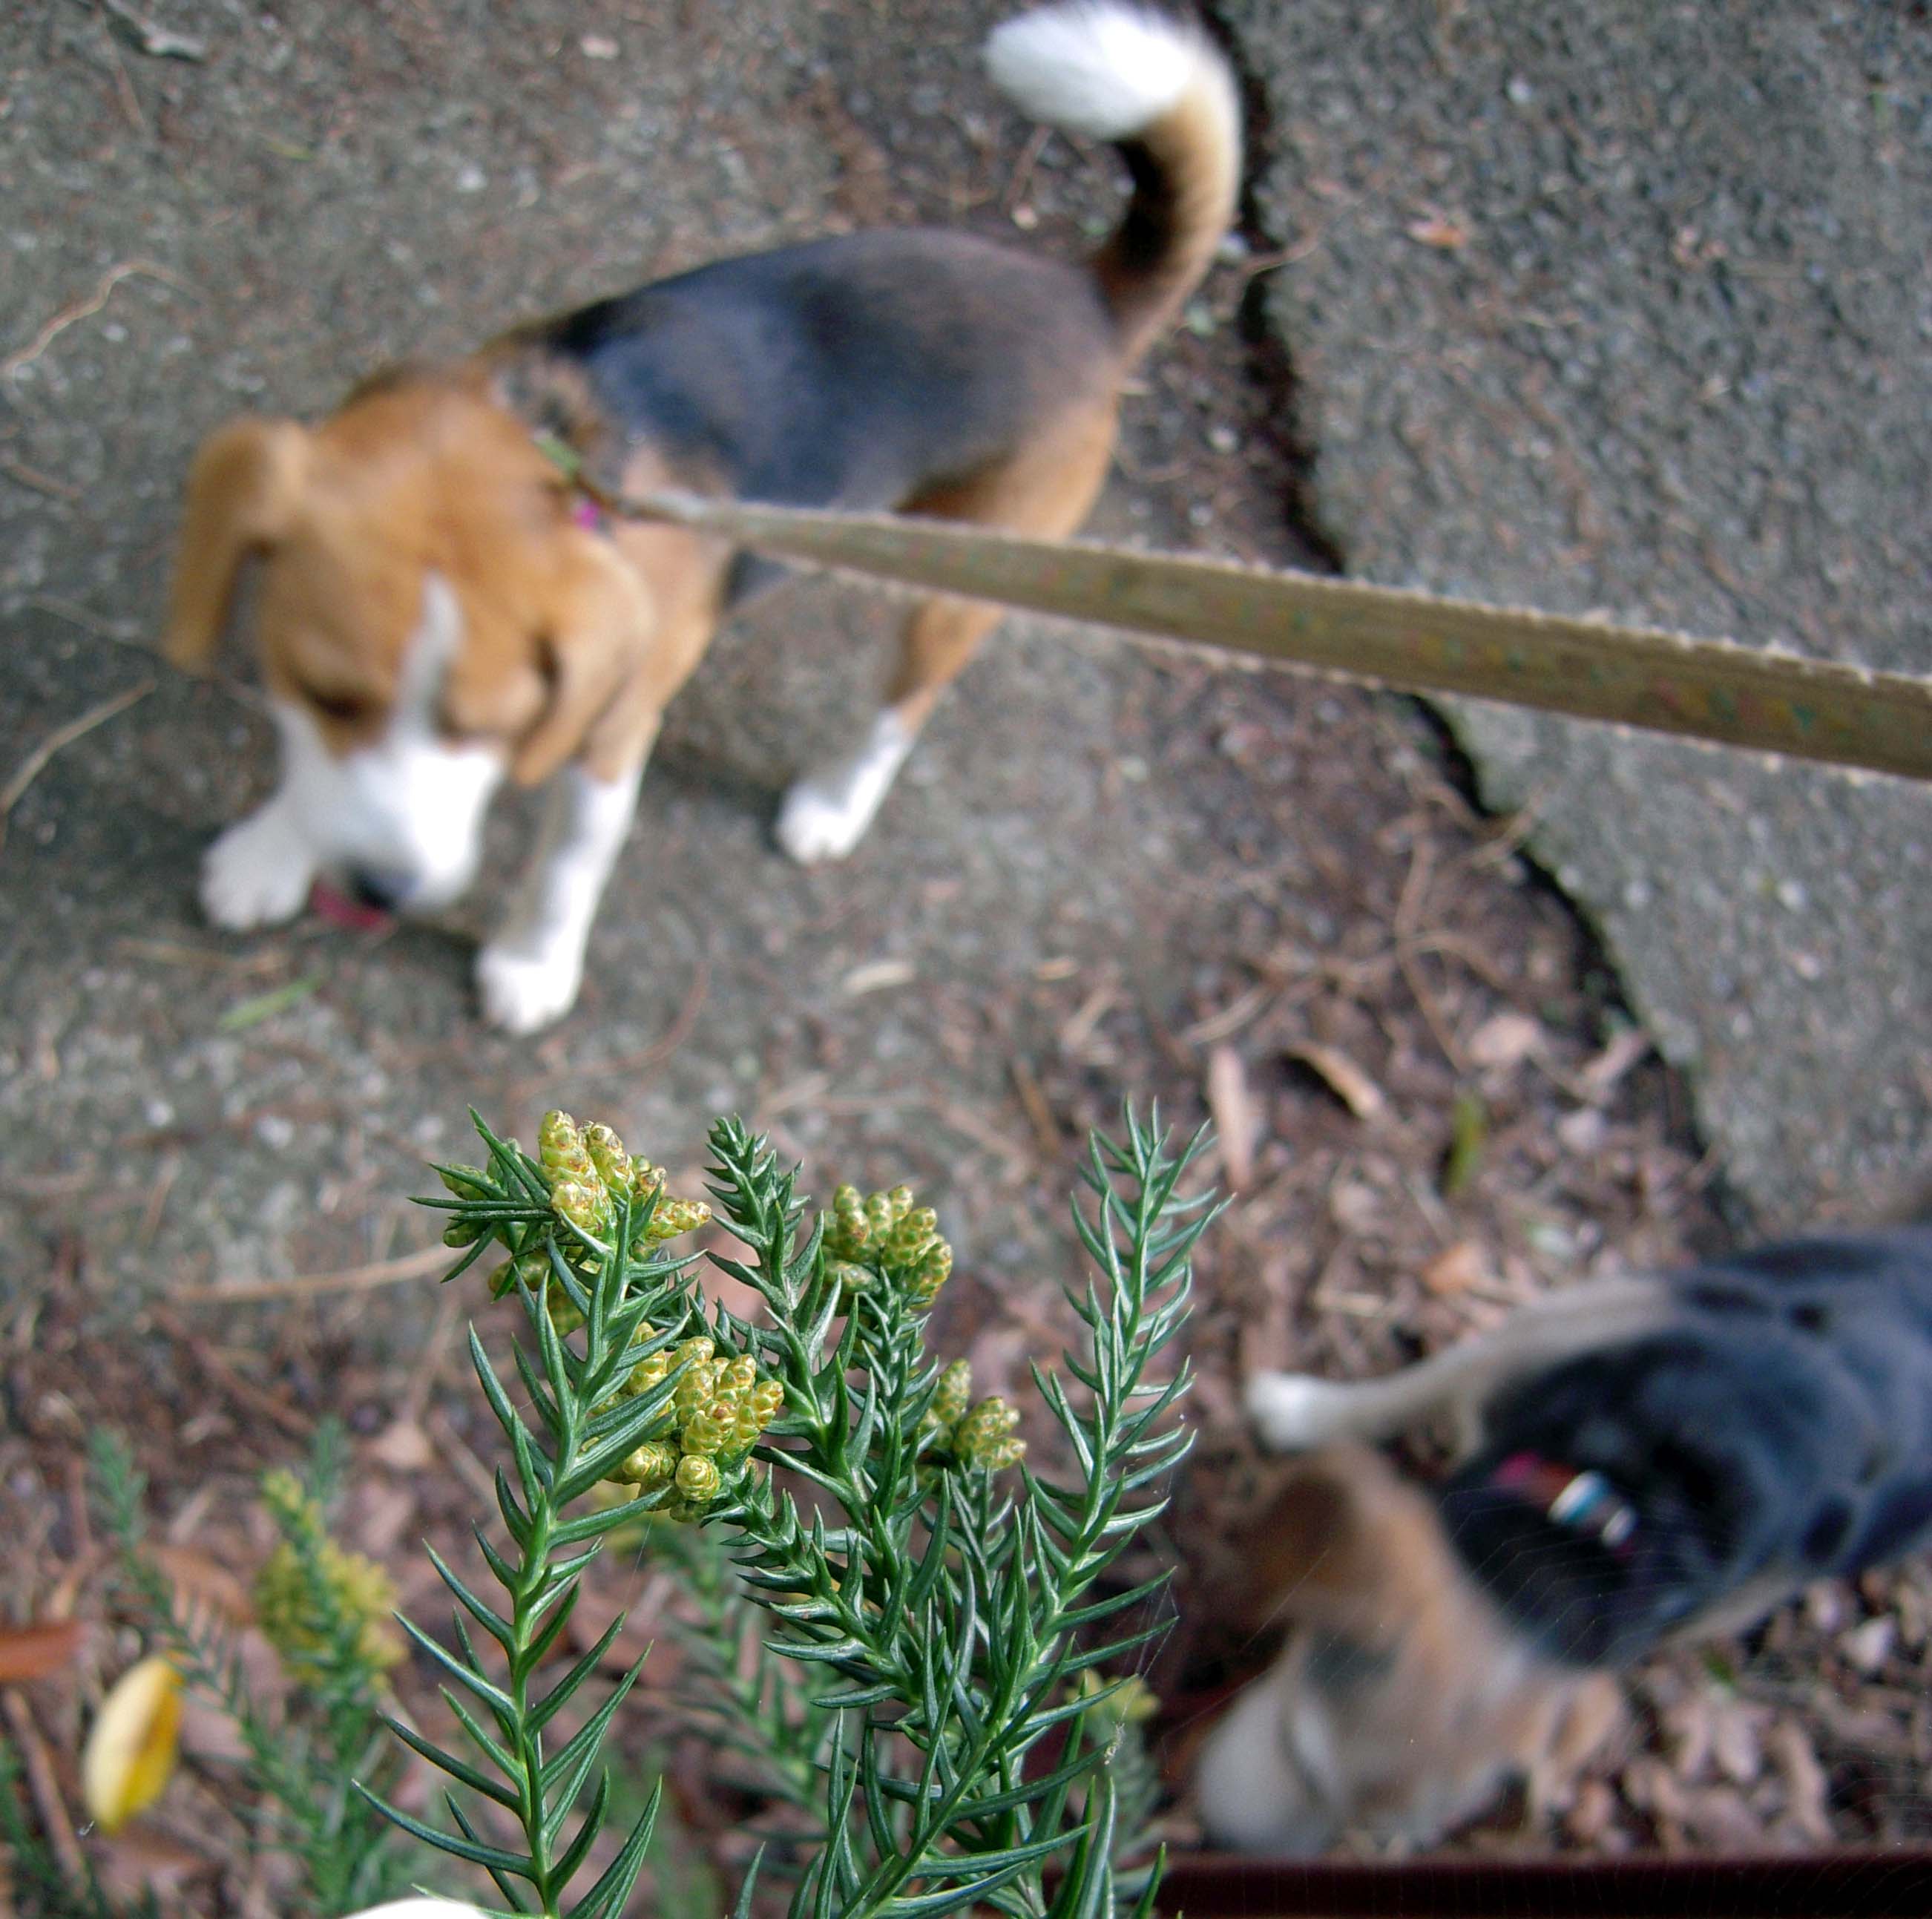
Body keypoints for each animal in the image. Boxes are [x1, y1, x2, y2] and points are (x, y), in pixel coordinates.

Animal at [162, 4, 1236, 1035]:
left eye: (502, 726)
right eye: (326, 692)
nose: (383, 889)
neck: (553, 439)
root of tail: (1086, 296)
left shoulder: (612, 731)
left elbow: (570, 865)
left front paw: (530, 967)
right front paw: (273, 850)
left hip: (960, 586)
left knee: (900, 709)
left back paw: (832, 805)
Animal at [1190, 1236, 1932, 1847]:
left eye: (1376, 1832)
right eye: (1297, 1751)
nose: (1222, 1843)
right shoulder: (1533, 1336)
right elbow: (1406, 1392)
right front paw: (1299, 1411)